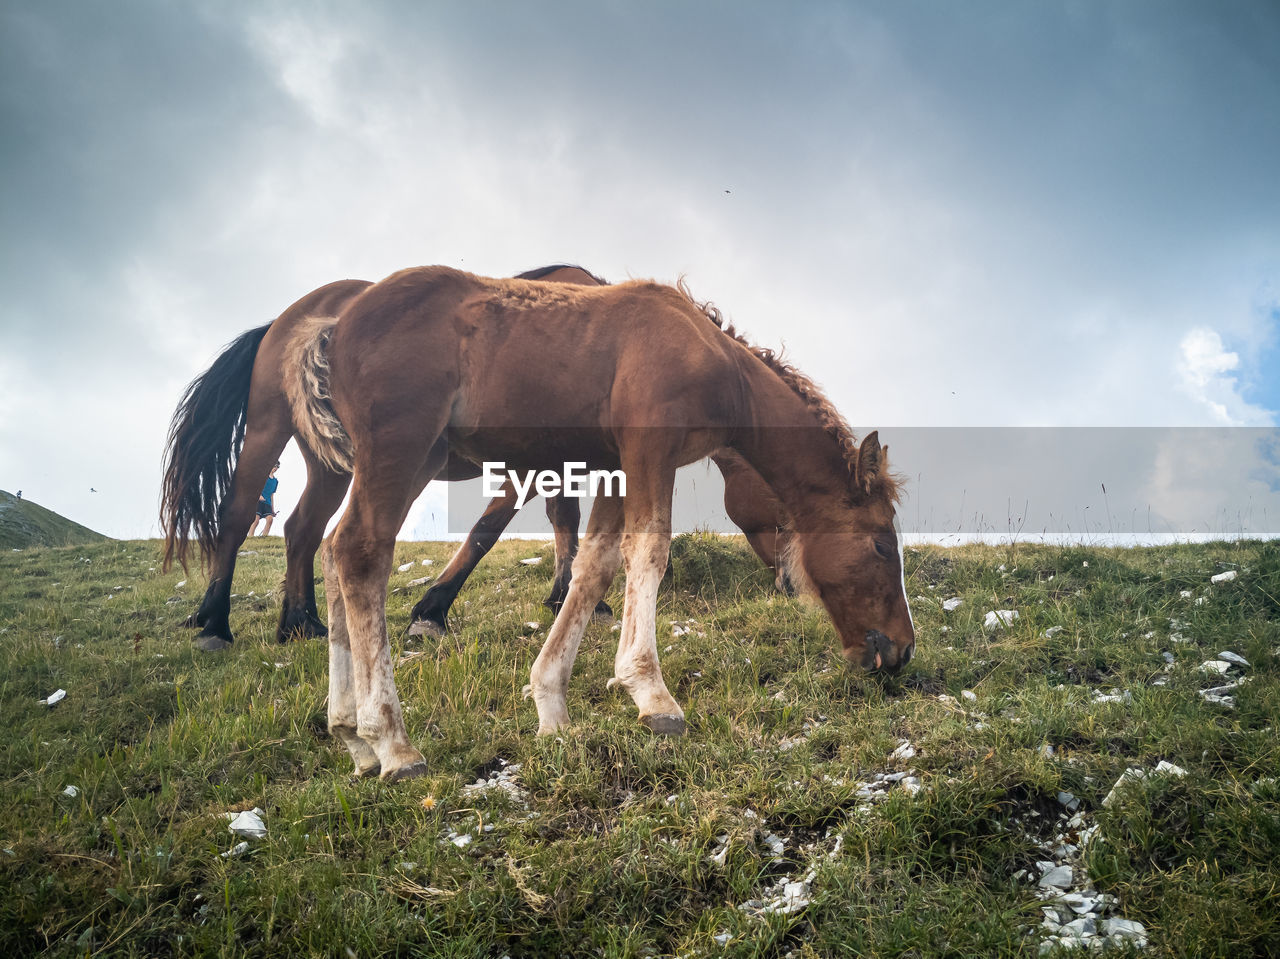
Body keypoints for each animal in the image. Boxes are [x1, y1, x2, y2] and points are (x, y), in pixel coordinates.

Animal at [154, 265, 783, 647]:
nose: (787, 583)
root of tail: (290, 319)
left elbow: (566, 522)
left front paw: (567, 595)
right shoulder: (531, 465)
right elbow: (491, 528)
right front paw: (432, 610)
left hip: (331, 461)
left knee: (302, 528)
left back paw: (302, 622)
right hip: (270, 431)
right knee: (239, 515)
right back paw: (214, 623)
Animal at [289, 265, 911, 783]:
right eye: (883, 544)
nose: (901, 649)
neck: (718, 361)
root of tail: (335, 327)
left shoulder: (617, 464)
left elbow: (594, 568)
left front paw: (551, 705)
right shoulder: (650, 449)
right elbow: (648, 553)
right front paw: (652, 695)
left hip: (417, 457)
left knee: (333, 553)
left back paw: (351, 736)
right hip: (401, 449)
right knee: (359, 552)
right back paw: (391, 742)